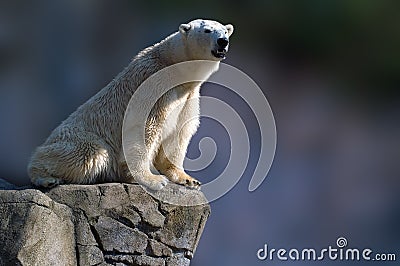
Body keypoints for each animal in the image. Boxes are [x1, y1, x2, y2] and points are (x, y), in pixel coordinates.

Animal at [28, 19, 233, 191]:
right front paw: (153, 180)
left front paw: (188, 179)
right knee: (88, 153)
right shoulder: (154, 87)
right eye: (207, 30)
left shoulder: (188, 96)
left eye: (225, 31)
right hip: (77, 137)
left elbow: (178, 133)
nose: (222, 41)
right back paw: (46, 177)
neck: (173, 68)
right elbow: (145, 128)